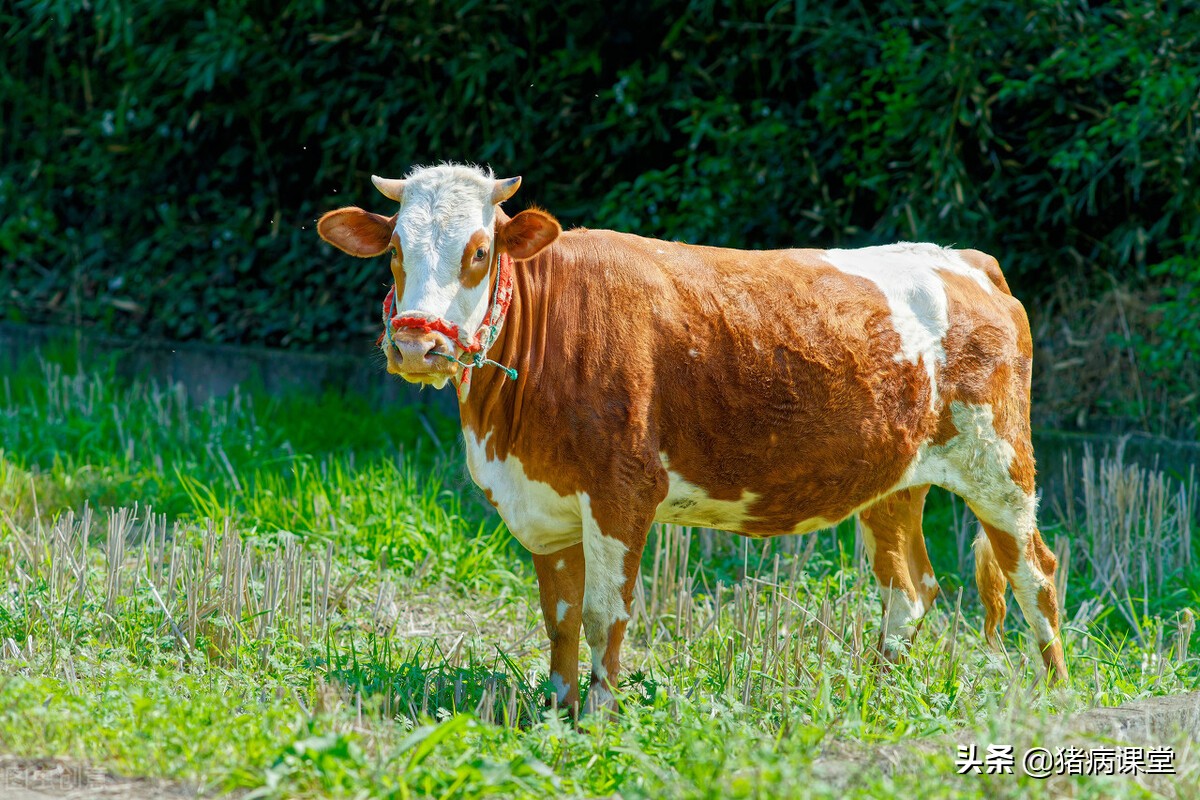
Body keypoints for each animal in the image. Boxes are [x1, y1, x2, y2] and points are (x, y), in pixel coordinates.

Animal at [319, 163, 1070, 714]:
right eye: (394, 252)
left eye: (479, 253)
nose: (417, 347)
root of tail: (960, 258)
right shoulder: (543, 505)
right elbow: (560, 617)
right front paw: (557, 712)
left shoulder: (621, 493)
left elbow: (605, 615)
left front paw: (601, 720)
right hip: (894, 482)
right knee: (910, 591)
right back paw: (875, 699)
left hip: (1001, 464)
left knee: (1035, 573)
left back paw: (1058, 700)